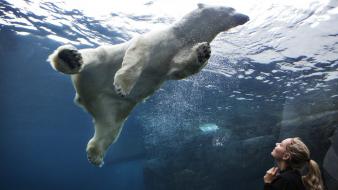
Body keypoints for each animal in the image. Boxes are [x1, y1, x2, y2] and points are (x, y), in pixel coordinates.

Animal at [47, 3, 248, 167]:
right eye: (231, 7)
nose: (246, 16)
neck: (181, 35)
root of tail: (85, 97)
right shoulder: (157, 38)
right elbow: (140, 52)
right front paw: (122, 85)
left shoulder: (176, 52)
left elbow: (180, 68)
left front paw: (203, 51)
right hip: (102, 62)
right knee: (91, 56)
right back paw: (70, 59)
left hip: (113, 108)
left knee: (109, 130)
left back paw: (96, 155)